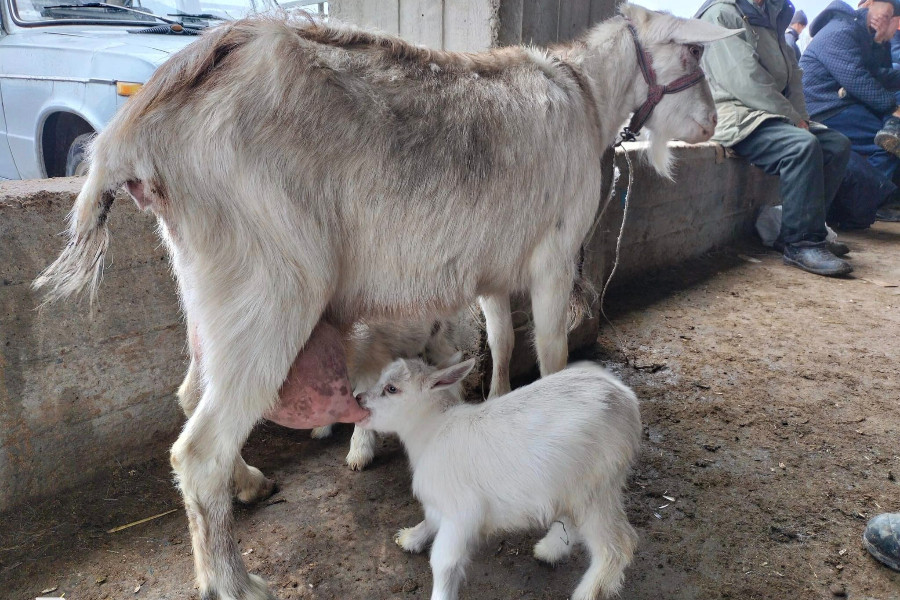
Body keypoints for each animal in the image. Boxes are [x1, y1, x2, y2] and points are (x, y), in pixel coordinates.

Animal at [38, 5, 736, 600]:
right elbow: (552, 352)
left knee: (190, 396)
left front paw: (498, 401)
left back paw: (251, 485)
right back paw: (233, 581)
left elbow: (502, 341)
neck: (585, 95)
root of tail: (133, 132)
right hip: (268, 285)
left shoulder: (489, 269)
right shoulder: (554, 254)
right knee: (199, 448)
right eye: (694, 56)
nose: (710, 125)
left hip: (209, 287)